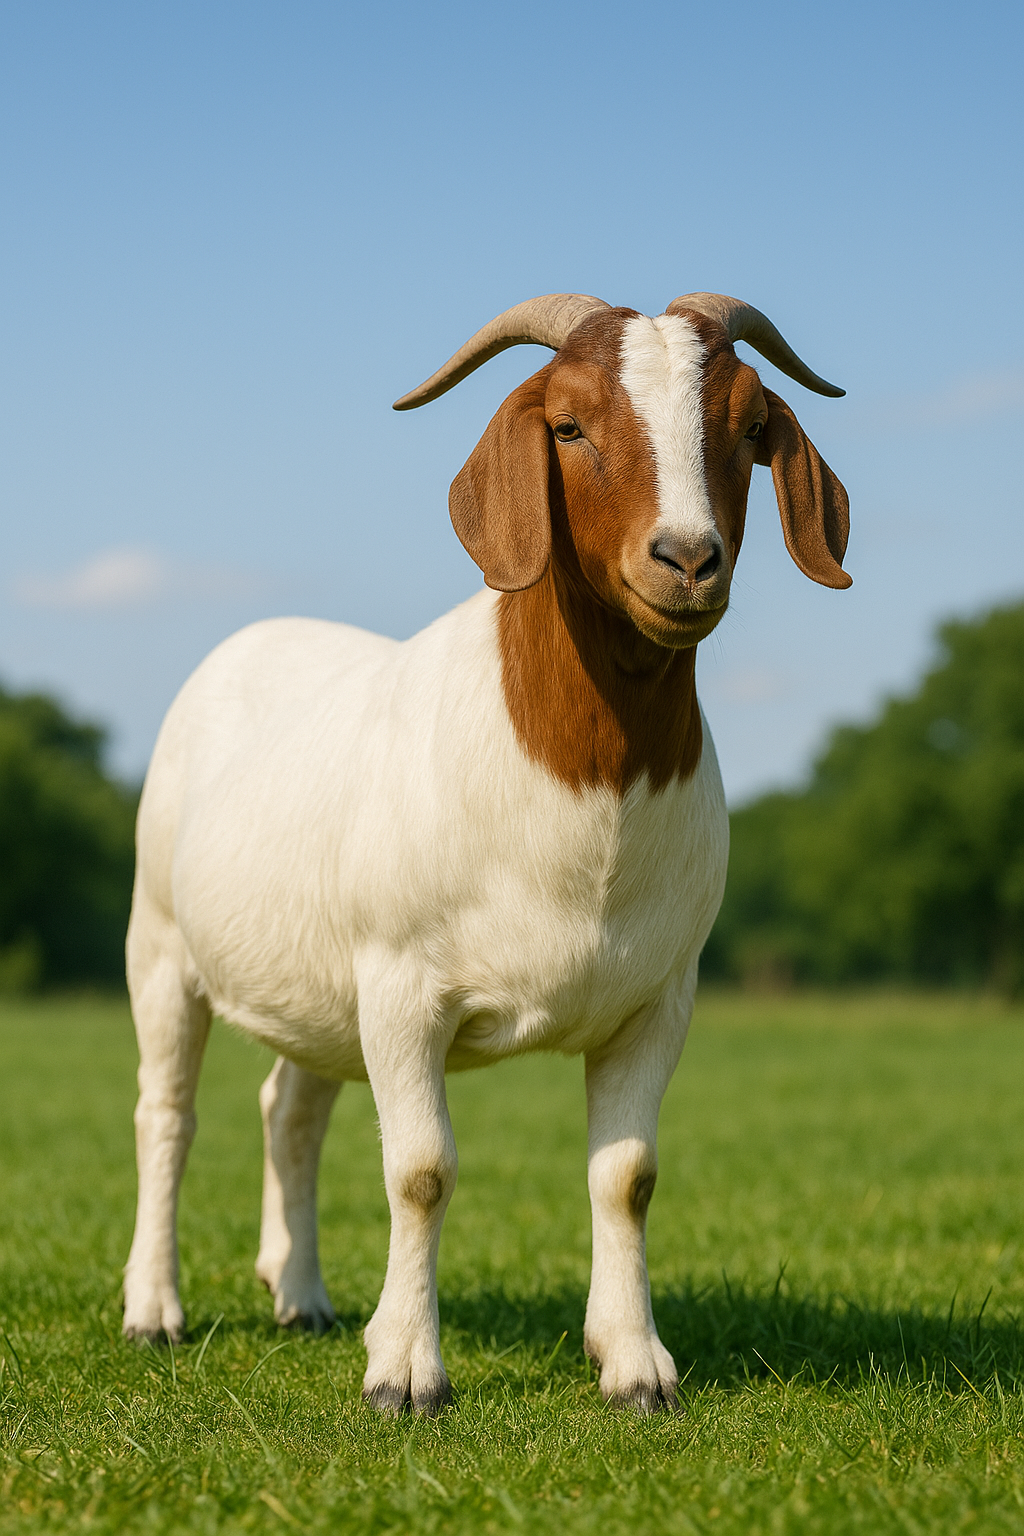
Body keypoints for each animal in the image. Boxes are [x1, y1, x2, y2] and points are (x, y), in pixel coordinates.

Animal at [122, 292, 850, 1415]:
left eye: (747, 428)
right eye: (570, 425)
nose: (687, 559)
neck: (581, 794)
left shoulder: (659, 998)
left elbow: (626, 1175)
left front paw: (634, 1366)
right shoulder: (400, 985)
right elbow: (420, 1170)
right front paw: (405, 1373)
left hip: (317, 985)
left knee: (291, 1109)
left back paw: (301, 1295)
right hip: (160, 942)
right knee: (168, 1114)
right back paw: (154, 1309)